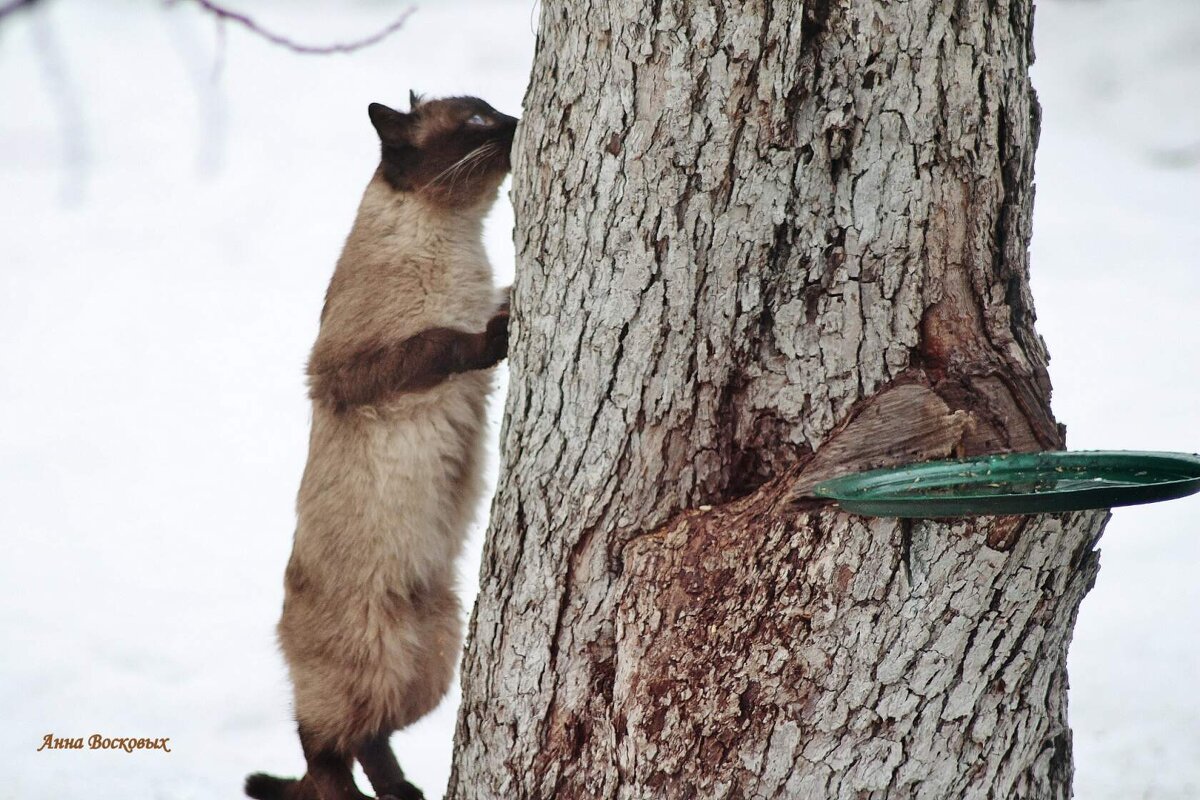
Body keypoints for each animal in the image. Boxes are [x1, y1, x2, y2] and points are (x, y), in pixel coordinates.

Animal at [246, 92, 518, 800]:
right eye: (477, 121)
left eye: (493, 112)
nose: (517, 118)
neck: (459, 240)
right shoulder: (351, 370)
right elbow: (446, 340)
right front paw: (497, 334)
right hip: (371, 663)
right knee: (322, 752)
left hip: (433, 656)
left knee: (370, 737)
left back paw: (405, 795)